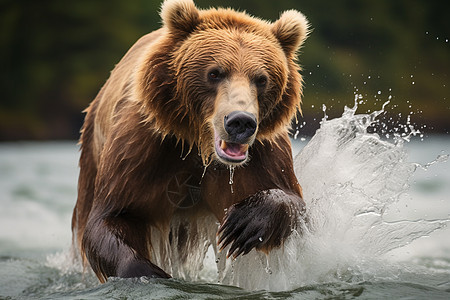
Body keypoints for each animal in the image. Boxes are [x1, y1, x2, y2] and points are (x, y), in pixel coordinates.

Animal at [71, 0, 310, 282]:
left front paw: (243, 224)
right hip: (92, 152)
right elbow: (112, 216)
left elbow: (291, 201)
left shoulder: (263, 152)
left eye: (261, 79)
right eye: (215, 73)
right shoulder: (142, 147)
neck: (199, 147)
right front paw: (149, 272)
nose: (240, 122)